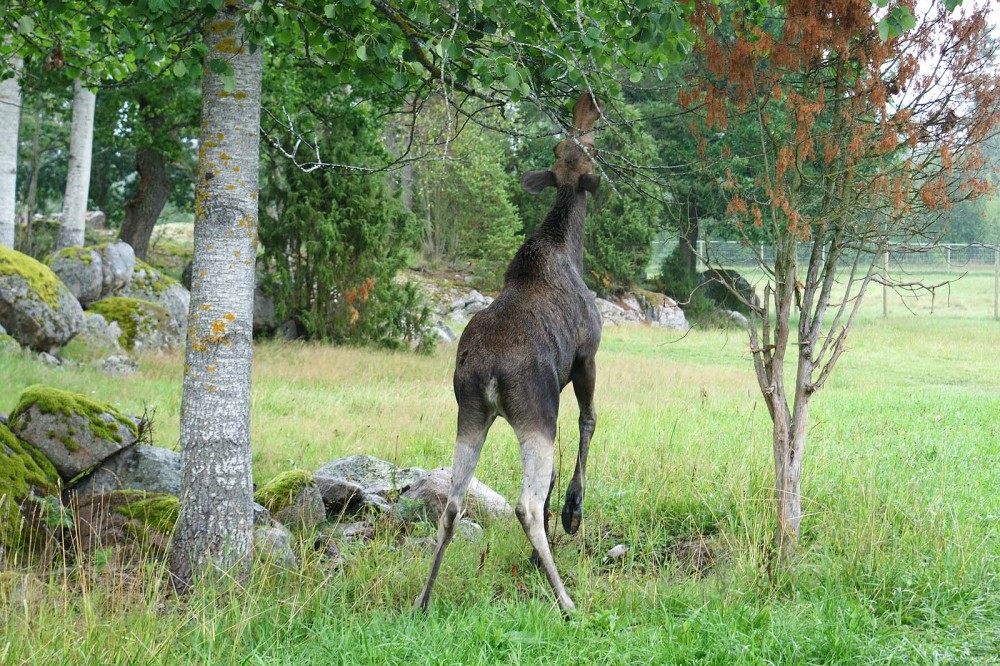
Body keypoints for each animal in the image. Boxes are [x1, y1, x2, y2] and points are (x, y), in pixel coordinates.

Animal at [412, 91, 600, 616]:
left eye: (571, 148)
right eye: (591, 155)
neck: (568, 245)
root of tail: (491, 372)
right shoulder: (586, 356)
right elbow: (588, 422)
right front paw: (573, 513)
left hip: (469, 411)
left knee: (452, 505)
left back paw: (423, 599)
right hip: (534, 413)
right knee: (525, 506)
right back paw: (566, 601)